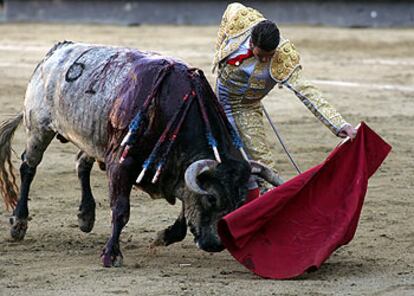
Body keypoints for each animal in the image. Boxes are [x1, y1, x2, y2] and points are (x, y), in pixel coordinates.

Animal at [0, 42, 282, 268]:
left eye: (241, 201)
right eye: (212, 198)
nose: (215, 244)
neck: (175, 106)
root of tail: (56, 50)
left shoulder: (176, 171)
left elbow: (183, 215)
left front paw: (163, 236)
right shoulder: (121, 163)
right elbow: (121, 210)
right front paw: (111, 255)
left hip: (94, 137)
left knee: (81, 163)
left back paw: (86, 216)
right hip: (39, 126)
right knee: (28, 167)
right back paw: (19, 222)